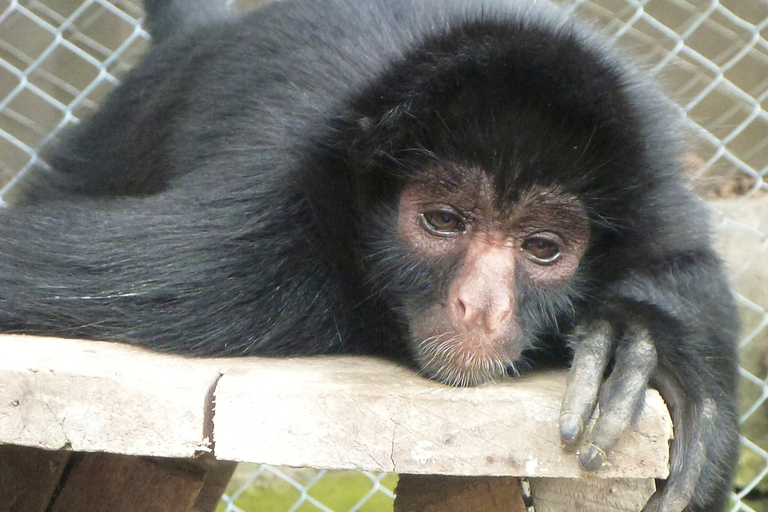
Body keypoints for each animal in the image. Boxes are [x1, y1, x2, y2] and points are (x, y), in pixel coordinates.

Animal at [0, 0, 736, 510]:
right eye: (444, 221)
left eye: (542, 247)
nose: (481, 305)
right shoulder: (246, 254)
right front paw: (629, 341)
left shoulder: (657, 202)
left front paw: (633, 341)